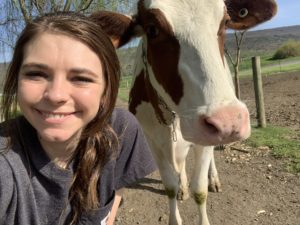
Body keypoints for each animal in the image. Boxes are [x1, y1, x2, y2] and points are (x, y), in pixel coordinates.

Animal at [90, 0, 278, 224]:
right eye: (152, 29)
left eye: (224, 23)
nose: (229, 121)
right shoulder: (152, 139)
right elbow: (170, 185)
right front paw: (177, 197)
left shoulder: (204, 138)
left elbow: (200, 190)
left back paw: (213, 179)